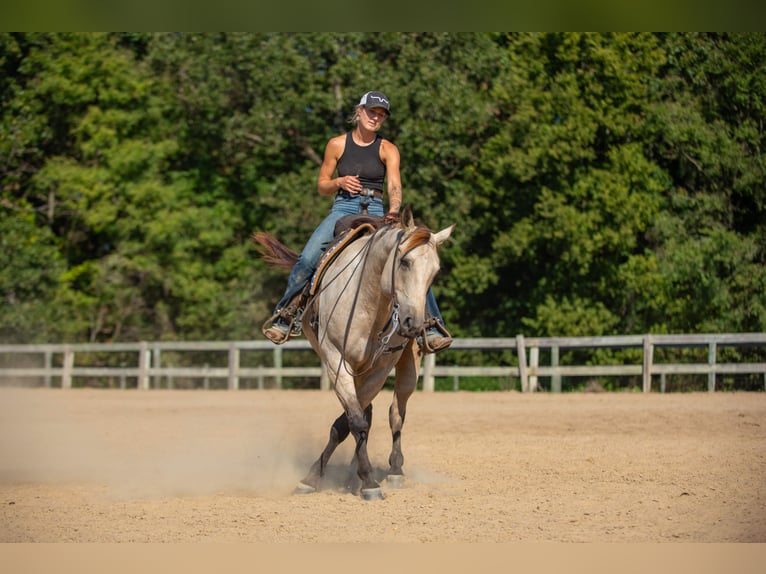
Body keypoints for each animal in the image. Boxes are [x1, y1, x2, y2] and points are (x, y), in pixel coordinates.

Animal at [253, 206, 454, 500]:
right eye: (404, 262)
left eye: (435, 271)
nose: (413, 324)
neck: (368, 303)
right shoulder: (336, 360)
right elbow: (355, 421)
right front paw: (351, 479)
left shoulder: (381, 367)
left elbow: (350, 422)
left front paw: (363, 478)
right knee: (367, 414)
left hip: (404, 365)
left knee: (396, 413)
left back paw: (394, 471)